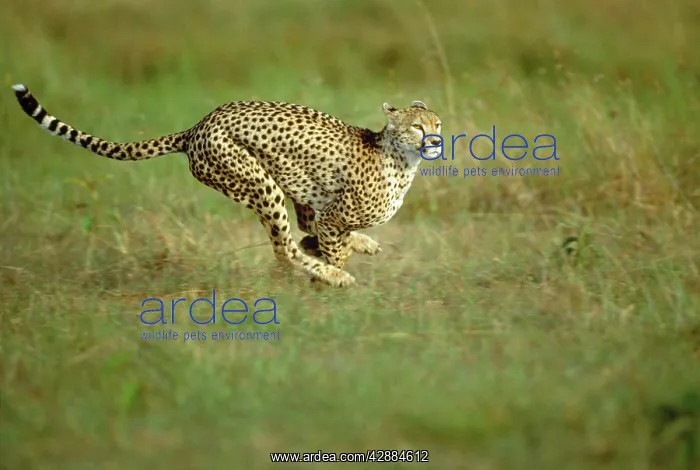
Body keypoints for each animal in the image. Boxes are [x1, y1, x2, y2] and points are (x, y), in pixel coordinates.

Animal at [11, 83, 442, 287]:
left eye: (437, 124)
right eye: (417, 127)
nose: (436, 140)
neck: (400, 158)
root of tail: (197, 126)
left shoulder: (322, 206)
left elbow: (322, 232)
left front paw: (350, 248)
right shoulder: (332, 216)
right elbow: (331, 245)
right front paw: (329, 275)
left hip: (279, 179)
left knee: (296, 231)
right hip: (259, 183)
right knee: (283, 248)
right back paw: (331, 274)